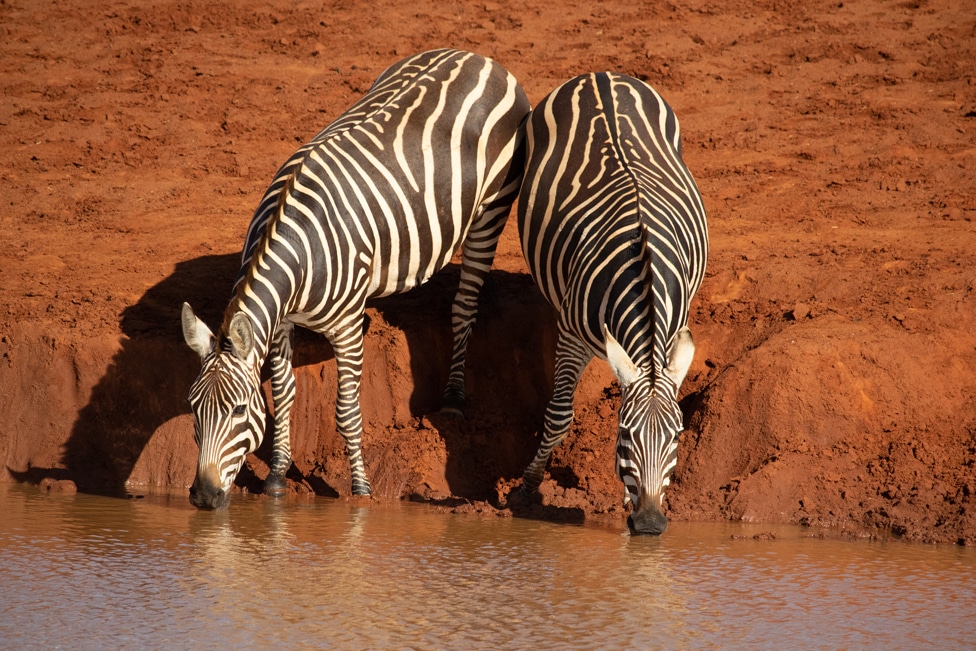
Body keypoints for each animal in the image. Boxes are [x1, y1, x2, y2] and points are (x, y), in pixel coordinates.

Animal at [181, 49, 529, 509]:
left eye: (238, 411)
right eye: (192, 407)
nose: (203, 497)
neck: (296, 247)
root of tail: (479, 57)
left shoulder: (347, 327)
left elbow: (347, 412)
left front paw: (361, 490)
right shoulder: (280, 321)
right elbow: (285, 393)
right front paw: (276, 475)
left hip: (491, 211)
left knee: (466, 305)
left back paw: (453, 398)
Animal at [516, 72, 708, 535]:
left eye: (677, 437)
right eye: (624, 436)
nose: (652, 524)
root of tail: (600, 75)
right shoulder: (571, 335)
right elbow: (558, 415)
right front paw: (527, 486)